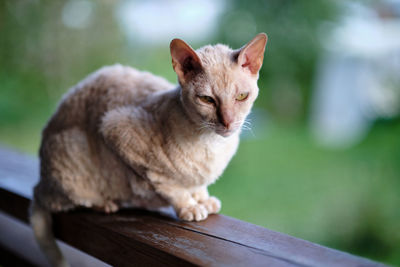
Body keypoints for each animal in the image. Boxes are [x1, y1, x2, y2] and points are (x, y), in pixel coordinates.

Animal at [29, 33, 268, 267]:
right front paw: (190, 206)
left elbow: (198, 183)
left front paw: (203, 199)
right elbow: (170, 186)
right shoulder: (116, 129)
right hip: (71, 154)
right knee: (60, 200)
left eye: (241, 97)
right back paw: (106, 204)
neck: (213, 144)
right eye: (207, 99)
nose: (228, 122)